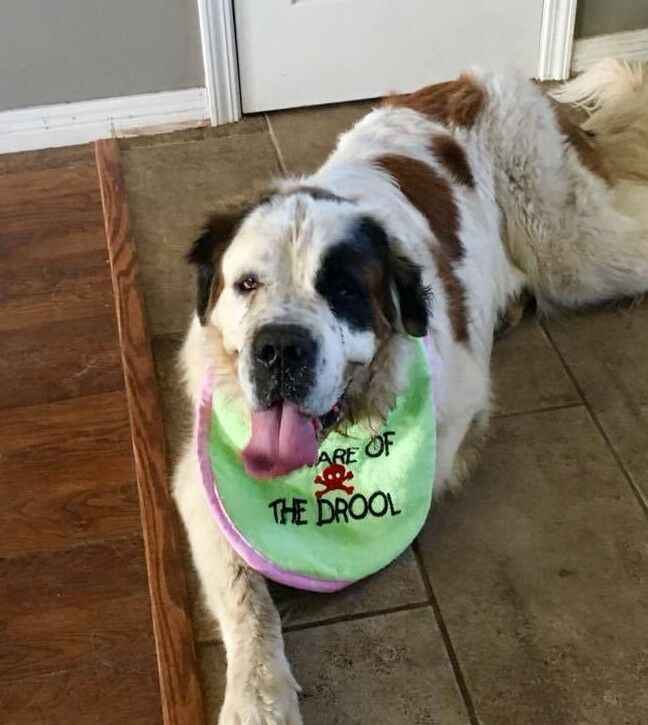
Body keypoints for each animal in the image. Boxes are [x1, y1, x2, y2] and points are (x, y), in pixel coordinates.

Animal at [172, 62, 648, 724]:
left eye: (343, 291)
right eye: (247, 285)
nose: (279, 349)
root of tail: (483, 77)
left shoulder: (459, 402)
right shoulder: (200, 475)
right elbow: (244, 591)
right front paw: (257, 694)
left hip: (571, 251)